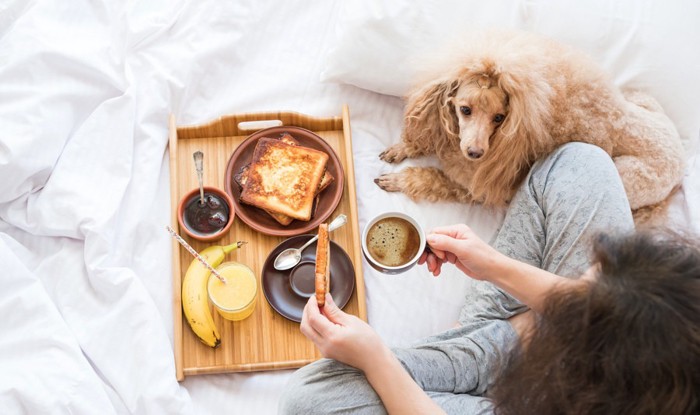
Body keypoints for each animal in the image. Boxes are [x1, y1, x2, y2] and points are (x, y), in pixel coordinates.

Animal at [374, 30, 688, 216]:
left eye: (499, 118)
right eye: (465, 110)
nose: (475, 153)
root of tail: (680, 161)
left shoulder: (477, 187)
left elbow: (434, 178)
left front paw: (399, 179)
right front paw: (403, 148)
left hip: (629, 175)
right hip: (645, 102)